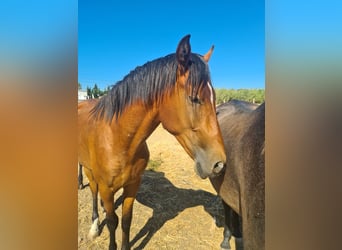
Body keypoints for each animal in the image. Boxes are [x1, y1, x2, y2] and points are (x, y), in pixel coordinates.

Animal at [78, 34, 227, 249]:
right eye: (194, 98)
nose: (219, 164)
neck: (118, 139)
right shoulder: (106, 187)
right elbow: (113, 222)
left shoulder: (133, 185)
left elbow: (126, 221)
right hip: (89, 171)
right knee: (92, 191)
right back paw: (94, 225)